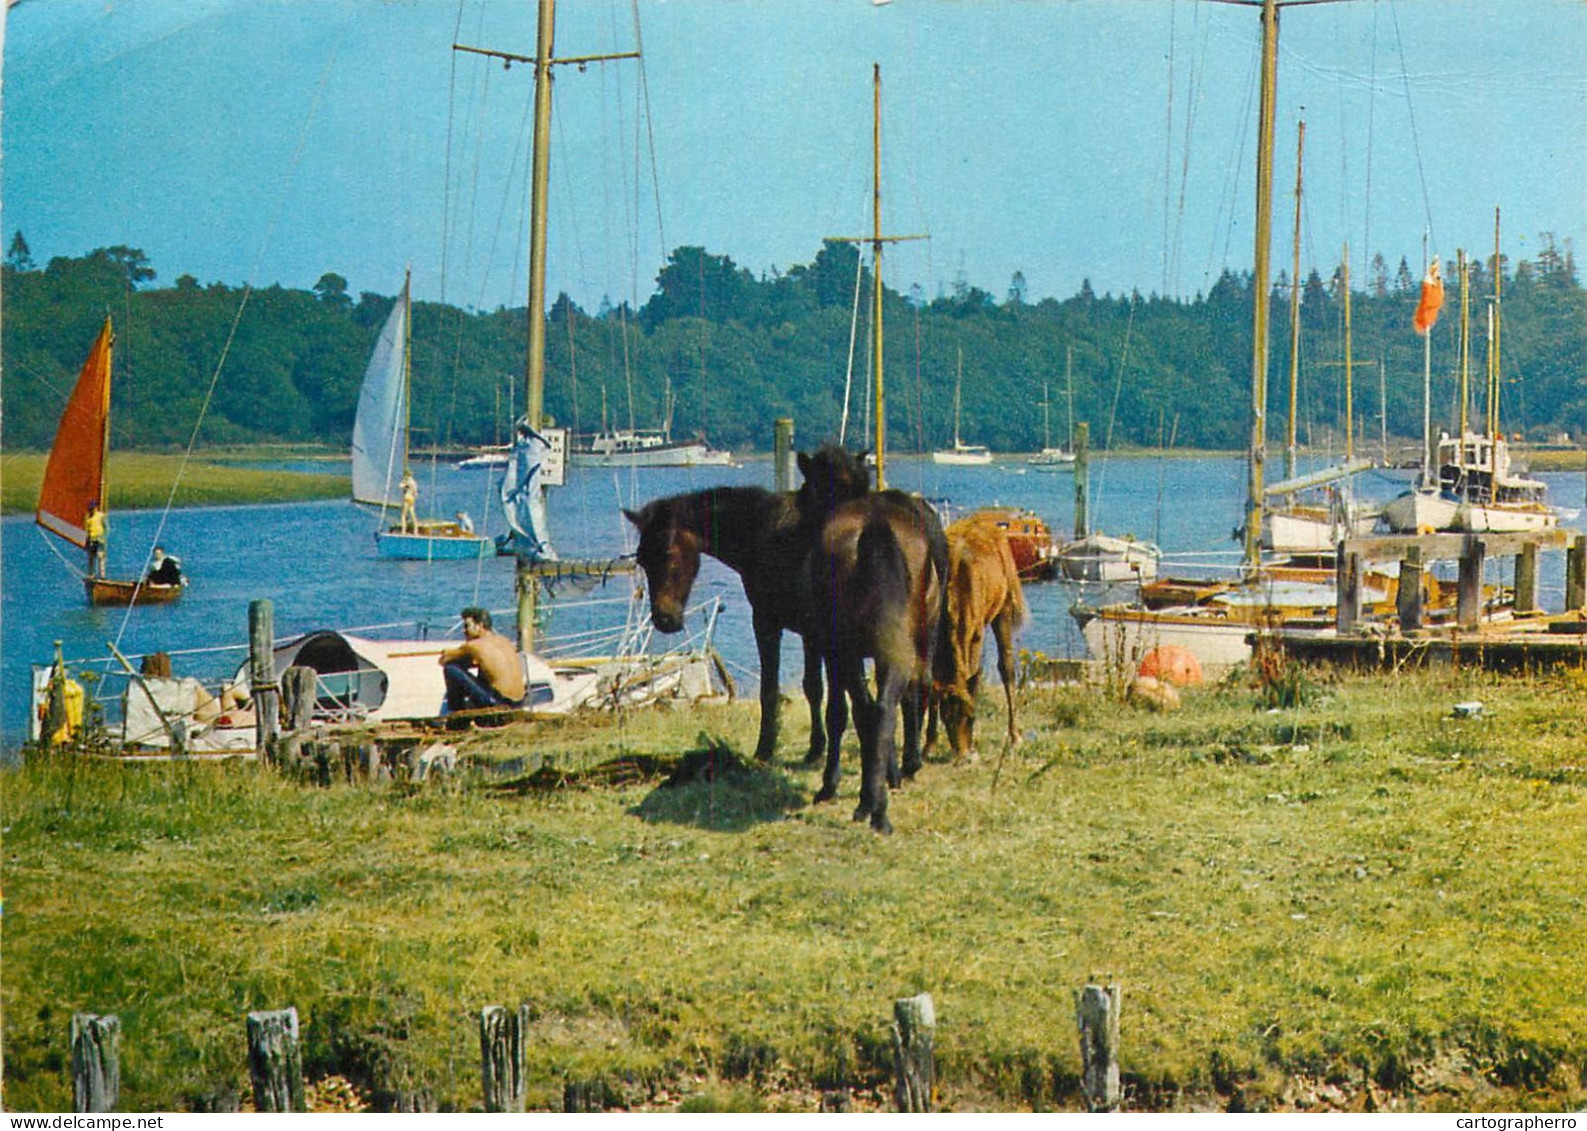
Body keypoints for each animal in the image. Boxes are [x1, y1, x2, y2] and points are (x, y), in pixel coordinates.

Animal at [622, 472, 869, 764]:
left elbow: (771, 690)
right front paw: (815, 748)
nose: (664, 619)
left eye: (669, 554)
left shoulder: (768, 622)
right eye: (642, 560)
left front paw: (765, 749)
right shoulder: (809, 632)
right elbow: (813, 688)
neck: (763, 533)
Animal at [799, 447, 945, 831]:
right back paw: (884, 798)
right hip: (909, 639)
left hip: (846, 649)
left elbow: (837, 712)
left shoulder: (829, 648)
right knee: (893, 702)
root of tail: (875, 528)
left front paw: (829, 784)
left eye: (809, 487)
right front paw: (891, 774)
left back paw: (869, 801)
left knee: (867, 710)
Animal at [926, 510, 1028, 758]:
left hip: (1004, 608)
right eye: (946, 717)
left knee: (1006, 666)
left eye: (970, 716)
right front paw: (929, 744)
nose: (963, 755)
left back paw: (1015, 736)